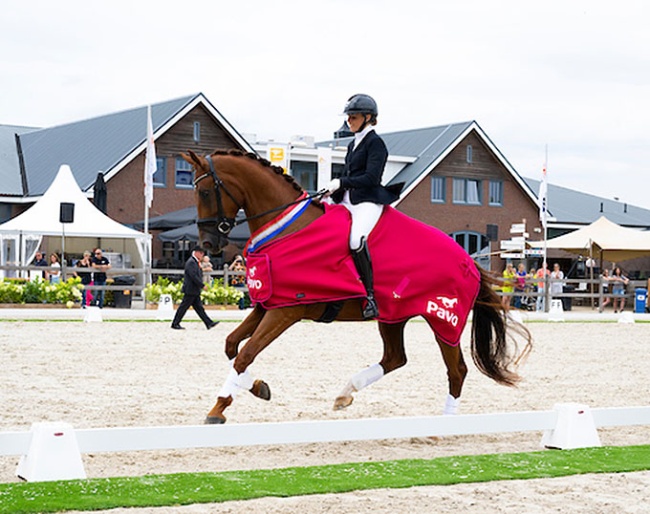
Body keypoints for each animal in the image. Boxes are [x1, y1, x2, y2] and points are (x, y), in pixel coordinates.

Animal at [184, 147, 532, 420]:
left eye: (205, 192)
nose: (208, 244)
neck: (285, 227)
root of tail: (468, 260)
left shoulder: (287, 311)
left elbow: (245, 353)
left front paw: (218, 408)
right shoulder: (269, 303)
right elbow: (232, 345)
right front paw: (258, 387)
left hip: (444, 321)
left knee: (456, 370)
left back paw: (444, 423)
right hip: (393, 316)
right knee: (395, 358)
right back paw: (345, 393)